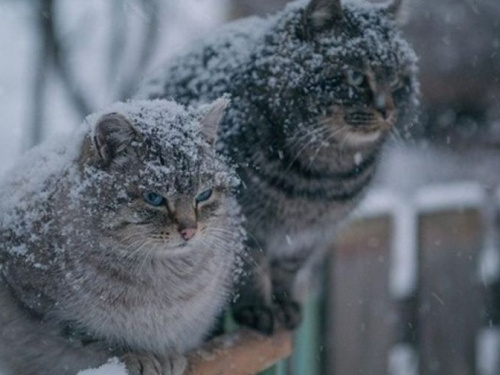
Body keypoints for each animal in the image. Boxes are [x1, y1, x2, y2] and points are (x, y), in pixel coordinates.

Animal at [0, 98, 244, 374]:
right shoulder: (43, 307)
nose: (189, 231)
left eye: (204, 195)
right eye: (154, 198)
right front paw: (138, 356)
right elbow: (94, 340)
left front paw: (168, 356)